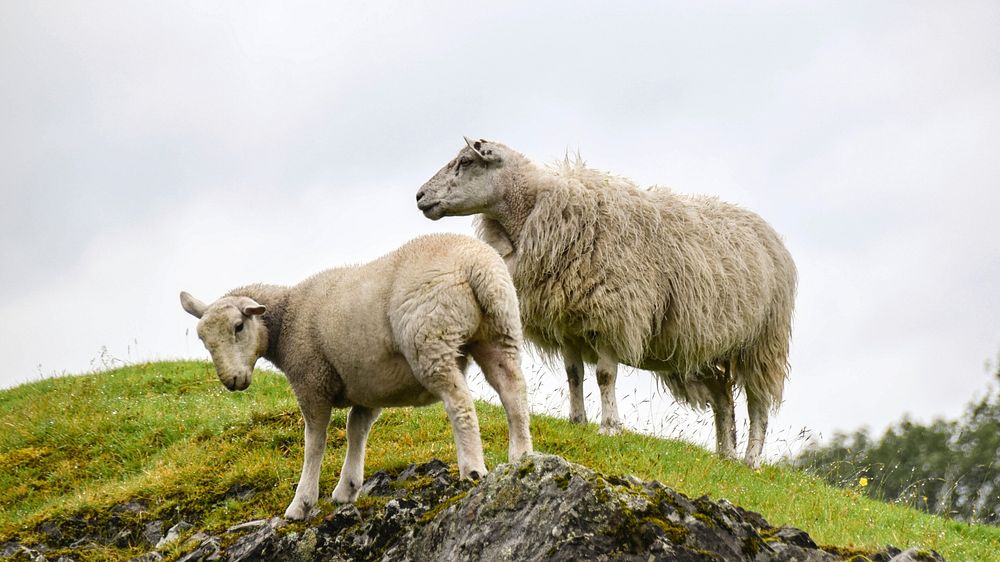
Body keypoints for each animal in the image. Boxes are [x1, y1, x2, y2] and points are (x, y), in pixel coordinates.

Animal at [182, 232, 540, 516]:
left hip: (430, 340)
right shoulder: (368, 387)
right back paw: (521, 457)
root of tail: (476, 265)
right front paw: (347, 489)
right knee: (514, 393)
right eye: (203, 340)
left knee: (460, 403)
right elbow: (356, 430)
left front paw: (302, 504)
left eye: (238, 326)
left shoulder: (312, 380)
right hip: (500, 330)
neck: (287, 318)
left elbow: (315, 443)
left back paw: (472, 469)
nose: (232, 381)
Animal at [414, 138, 796, 466]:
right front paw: (577, 420)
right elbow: (573, 375)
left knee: (759, 404)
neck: (533, 211)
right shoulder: (568, 322)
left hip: (762, 343)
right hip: (707, 347)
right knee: (723, 398)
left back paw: (751, 460)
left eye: (466, 162)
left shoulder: (612, 316)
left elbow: (604, 376)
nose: (419, 196)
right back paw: (725, 455)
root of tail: (771, 236)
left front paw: (610, 426)